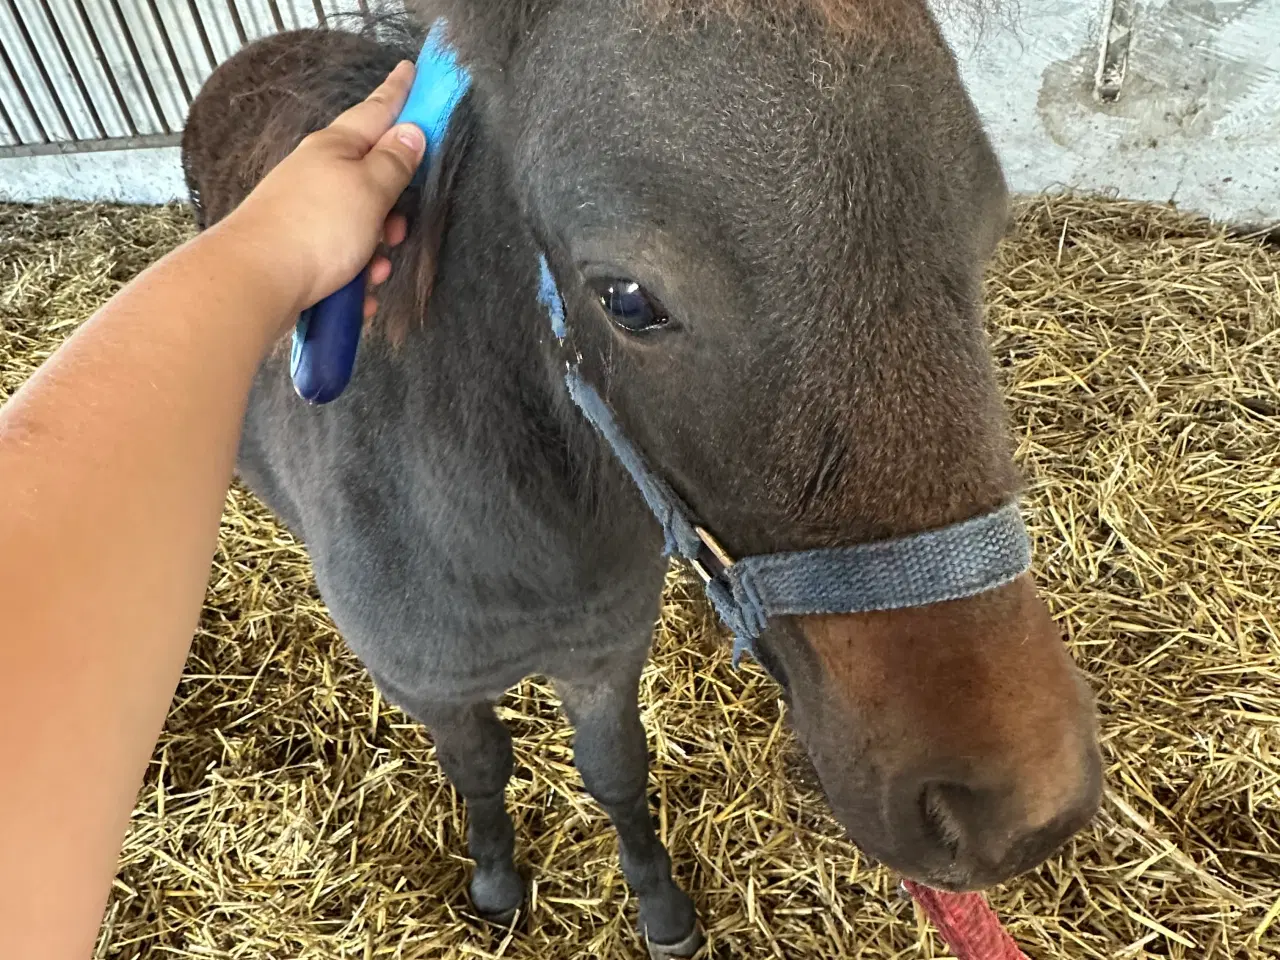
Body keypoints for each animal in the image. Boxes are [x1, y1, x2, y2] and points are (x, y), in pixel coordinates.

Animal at [185, 3, 1105, 957]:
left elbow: (616, 774)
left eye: (987, 233)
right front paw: (497, 882)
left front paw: (660, 907)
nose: (1017, 811)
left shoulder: (604, 654)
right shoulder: (433, 688)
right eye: (627, 299)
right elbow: (480, 771)